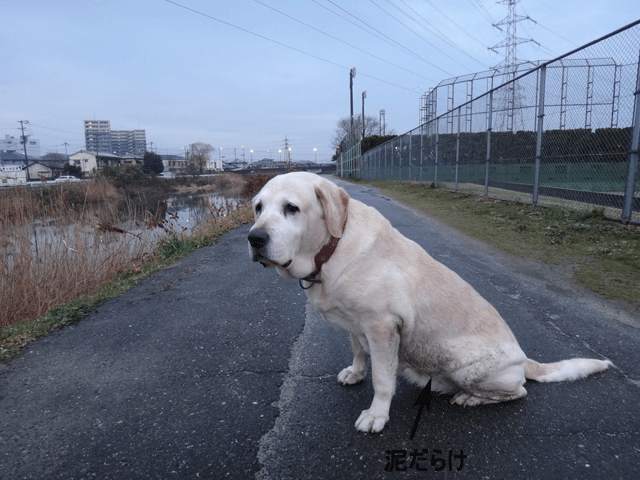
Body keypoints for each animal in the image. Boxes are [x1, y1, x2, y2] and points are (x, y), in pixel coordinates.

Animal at [248, 173, 612, 436]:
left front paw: (376, 415)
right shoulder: (356, 323)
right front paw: (355, 372)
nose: (254, 238)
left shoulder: (382, 327)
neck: (330, 250)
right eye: (257, 207)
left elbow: (382, 380)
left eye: (292, 208)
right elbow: (357, 350)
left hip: (467, 365)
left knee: (518, 392)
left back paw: (470, 397)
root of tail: (524, 359)